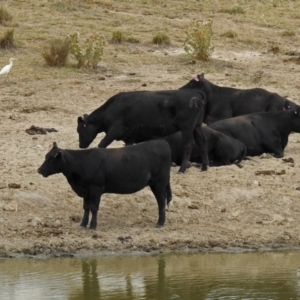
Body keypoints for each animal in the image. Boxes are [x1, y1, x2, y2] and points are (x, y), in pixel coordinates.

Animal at [37, 141, 173, 230]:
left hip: (160, 183)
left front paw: (92, 226)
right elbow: (86, 207)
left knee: (161, 201)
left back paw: (160, 223)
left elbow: (94, 208)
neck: (82, 163)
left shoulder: (96, 189)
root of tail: (162, 143)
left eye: (51, 159)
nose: (39, 170)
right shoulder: (86, 191)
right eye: (46, 156)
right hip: (155, 184)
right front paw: (83, 224)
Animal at [77, 89, 209, 173]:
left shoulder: (114, 130)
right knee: (202, 143)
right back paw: (204, 167)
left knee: (188, 145)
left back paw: (182, 169)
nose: (81, 145)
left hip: (187, 128)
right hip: (197, 127)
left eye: (80, 130)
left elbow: (102, 144)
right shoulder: (130, 135)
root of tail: (194, 93)